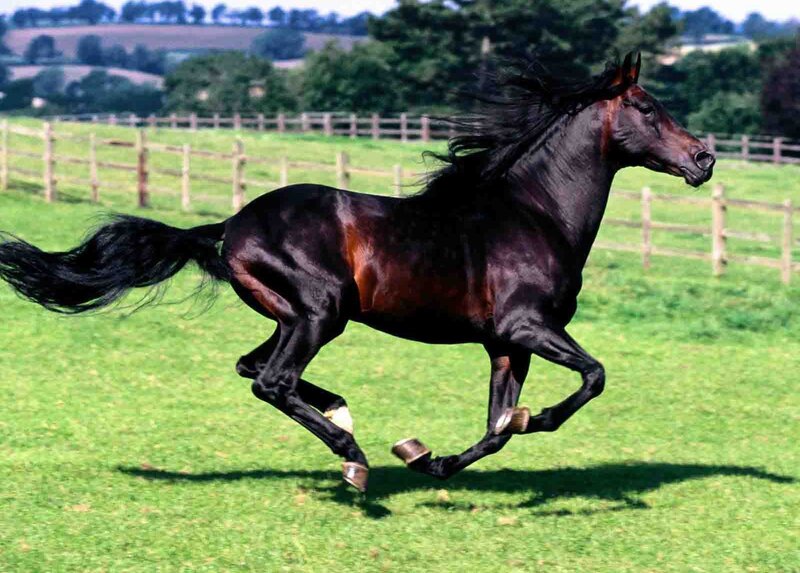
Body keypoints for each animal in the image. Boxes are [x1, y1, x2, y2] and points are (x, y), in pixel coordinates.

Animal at [0, 53, 714, 492]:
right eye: (647, 108)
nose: (704, 160)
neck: (535, 213)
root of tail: (230, 226)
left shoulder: (505, 344)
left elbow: (493, 429)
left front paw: (431, 458)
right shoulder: (527, 327)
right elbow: (591, 379)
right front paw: (525, 423)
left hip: (293, 316)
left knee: (254, 369)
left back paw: (346, 422)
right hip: (321, 312)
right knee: (273, 380)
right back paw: (353, 458)